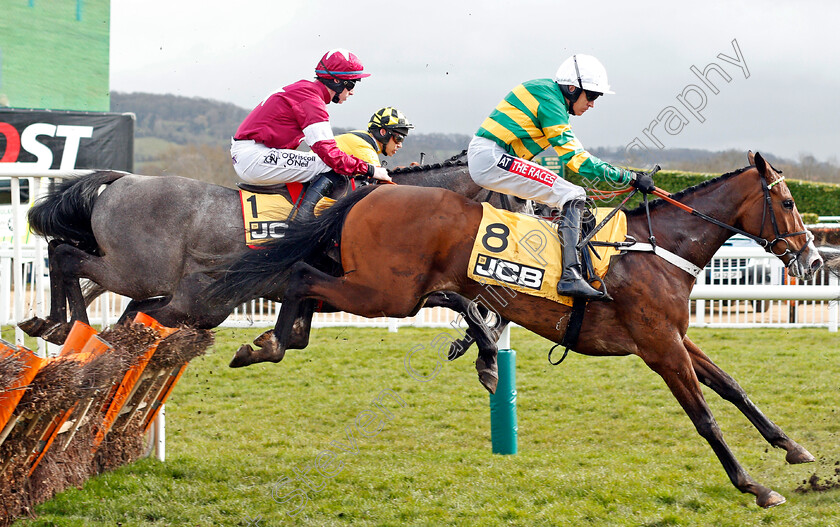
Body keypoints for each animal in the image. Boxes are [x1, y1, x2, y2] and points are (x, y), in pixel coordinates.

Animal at [23, 157, 520, 380]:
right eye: (520, 197)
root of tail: (122, 179)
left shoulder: (391, 289)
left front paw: (481, 350)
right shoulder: (370, 288)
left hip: (153, 281)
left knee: (81, 270)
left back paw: (55, 324)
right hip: (137, 270)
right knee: (64, 256)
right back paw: (67, 326)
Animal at [207, 153, 824, 508]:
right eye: (789, 200)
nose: (814, 260)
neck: (658, 247)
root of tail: (369, 192)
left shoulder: (675, 337)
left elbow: (732, 388)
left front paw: (793, 448)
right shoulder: (657, 347)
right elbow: (704, 415)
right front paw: (753, 485)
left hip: (388, 289)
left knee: (308, 278)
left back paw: (275, 339)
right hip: (386, 293)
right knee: (300, 273)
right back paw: (270, 341)